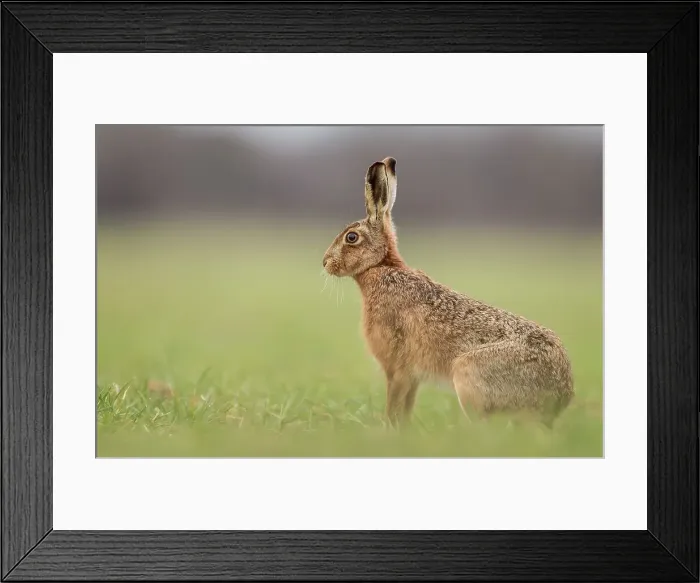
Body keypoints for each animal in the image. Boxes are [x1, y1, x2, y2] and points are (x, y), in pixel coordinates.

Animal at [322, 157, 574, 427]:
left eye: (351, 237)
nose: (325, 262)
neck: (381, 266)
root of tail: (558, 397)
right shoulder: (411, 377)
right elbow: (406, 408)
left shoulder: (397, 369)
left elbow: (393, 405)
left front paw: (387, 429)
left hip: (468, 375)